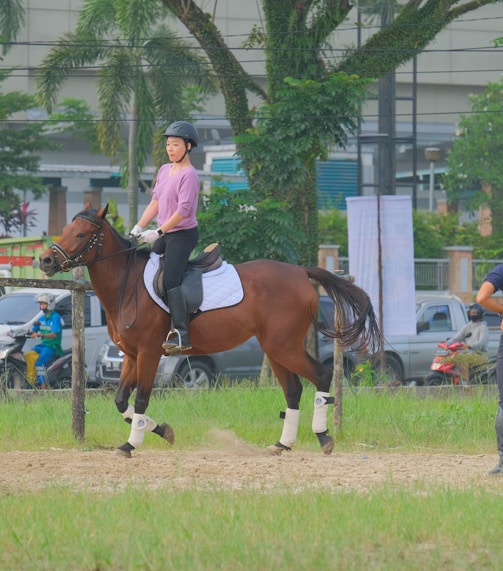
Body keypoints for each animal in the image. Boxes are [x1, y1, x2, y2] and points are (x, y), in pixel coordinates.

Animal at [37, 206, 380, 460]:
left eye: (81, 234)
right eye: (65, 230)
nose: (45, 260)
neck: (127, 285)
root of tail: (299, 271)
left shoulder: (149, 353)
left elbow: (142, 398)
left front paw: (130, 444)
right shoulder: (131, 355)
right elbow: (123, 401)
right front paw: (160, 429)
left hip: (284, 346)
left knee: (321, 376)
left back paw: (323, 438)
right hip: (275, 348)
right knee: (293, 390)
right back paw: (282, 445)